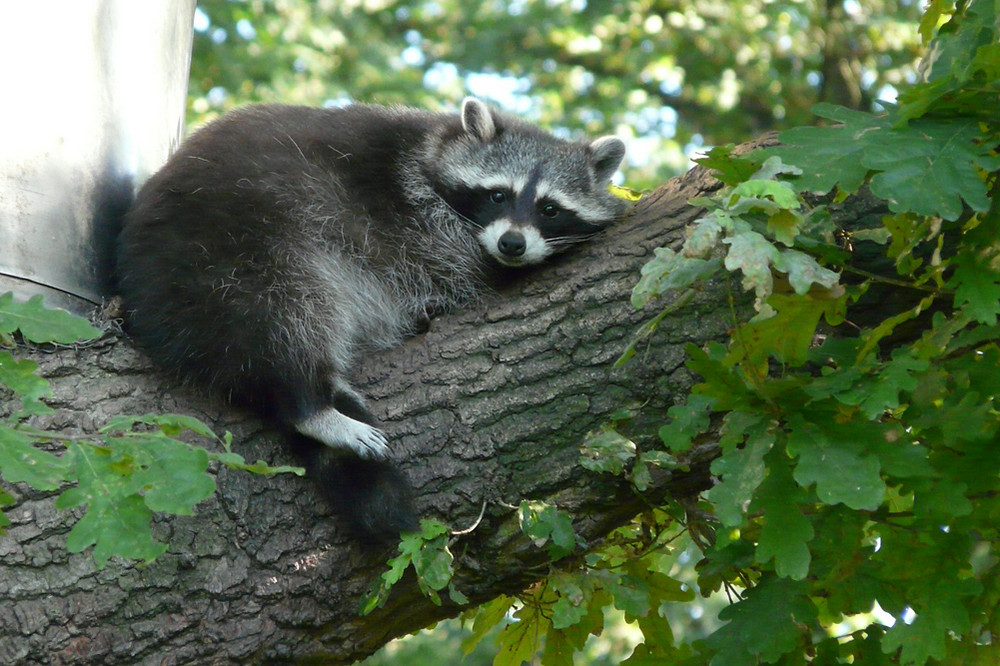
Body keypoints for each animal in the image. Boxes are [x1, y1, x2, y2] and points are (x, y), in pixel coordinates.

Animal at [115, 97, 624, 540]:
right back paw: (310, 404)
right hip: (231, 250)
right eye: (499, 195)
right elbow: (460, 271)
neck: (433, 145)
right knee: (281, 317)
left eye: (550, 208)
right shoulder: (420, 225)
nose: (512, 244)